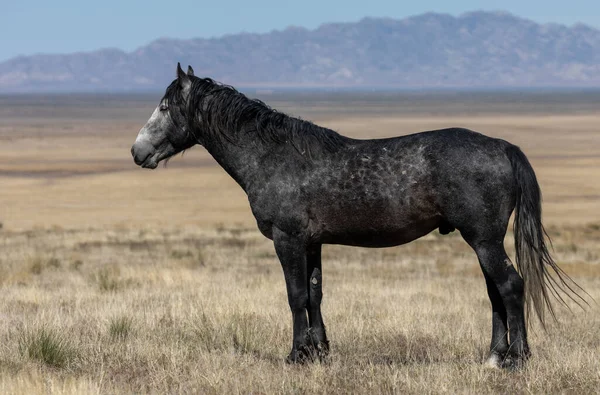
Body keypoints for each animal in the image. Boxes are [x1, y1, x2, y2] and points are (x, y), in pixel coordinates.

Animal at [130, 63, 580, 370]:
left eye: (165, 106)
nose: (137, 152)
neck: (273, 156)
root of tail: (503, 146)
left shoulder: (288, 239)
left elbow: (295, 296)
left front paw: (296, 355)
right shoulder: (311, 243)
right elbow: (314, 295)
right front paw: (319, 353)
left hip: (483, 240)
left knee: (510, 286)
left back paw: (515, 359)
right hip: (484, 241)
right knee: (495, 292)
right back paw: (493, 356)